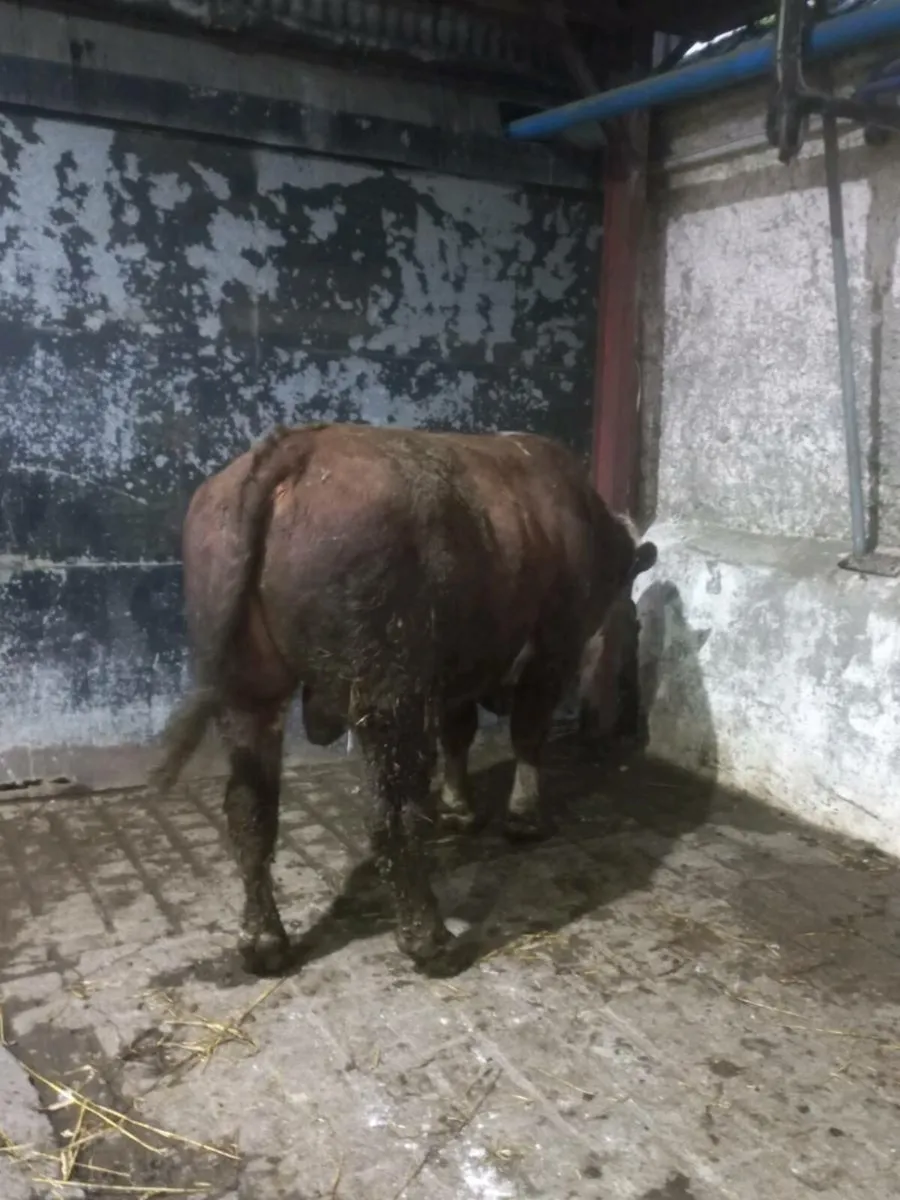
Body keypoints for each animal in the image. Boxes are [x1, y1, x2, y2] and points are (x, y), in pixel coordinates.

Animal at [149, 423, 657, 976]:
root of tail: (299, 443)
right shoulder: (552, 650)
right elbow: (527, 734)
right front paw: (524, 817)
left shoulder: (460, 670)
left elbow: (459, 734)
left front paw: (460, 809)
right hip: (389, 694)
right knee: (390, 817)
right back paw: (429, 939)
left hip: (248, 693)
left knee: (251, 812)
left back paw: (265, 942)